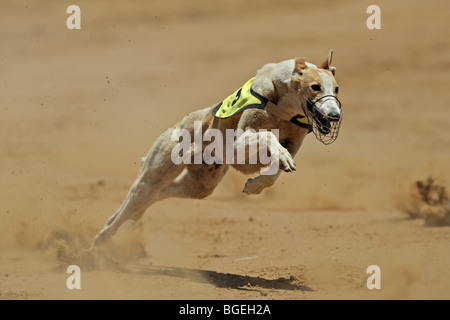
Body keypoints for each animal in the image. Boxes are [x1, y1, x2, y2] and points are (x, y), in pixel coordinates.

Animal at [91, 50, 344, 248]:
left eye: (337, 89)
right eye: (315, 87)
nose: (335, 116)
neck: (283, 106)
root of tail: (176, 125)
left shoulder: (294, 143)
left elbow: (274, 173)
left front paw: (255, 186)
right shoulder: (236, 144)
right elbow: (267, 136)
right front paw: (278, 155)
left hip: (199, 186)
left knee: (153, 197)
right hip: (154, 175)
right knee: (135, 199)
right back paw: (100, 240)